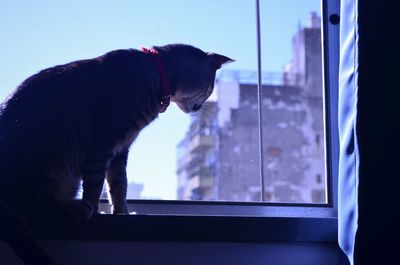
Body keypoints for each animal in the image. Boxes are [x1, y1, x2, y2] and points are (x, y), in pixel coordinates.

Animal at [0, 43, 233, 264]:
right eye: (210, 89)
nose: (199, 109)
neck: (155, 75)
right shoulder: (103, 143)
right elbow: (95, 186)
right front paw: (96, 211)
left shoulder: (121, 148)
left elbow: (119, 183)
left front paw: (122, 212)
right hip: (50, 161)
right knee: (32, 202)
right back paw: (72, 206)